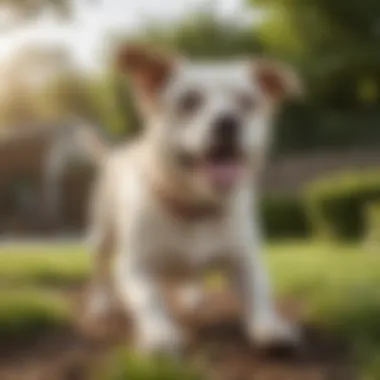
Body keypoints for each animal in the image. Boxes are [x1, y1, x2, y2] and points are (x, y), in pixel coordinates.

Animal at [85, 45, 300, 356]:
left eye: (247, 102)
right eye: (188, 101)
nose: (228, 122)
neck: (196, 207)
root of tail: (116, 154)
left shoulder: (244, 259)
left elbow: (259, 294)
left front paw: (270, 328)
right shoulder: (136, 267)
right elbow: (149, 299)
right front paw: (160, 334)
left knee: (189, 277)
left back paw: (191, 296)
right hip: (102, 236)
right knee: (100, 271)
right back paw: (101, 304)